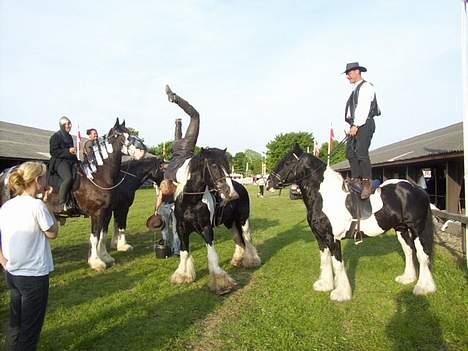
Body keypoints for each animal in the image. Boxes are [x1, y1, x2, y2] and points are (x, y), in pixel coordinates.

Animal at [171, 147, 262, 296]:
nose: (232, 193)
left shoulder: (206, 229)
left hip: (243, 220)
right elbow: (184, 252)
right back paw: (237, 260)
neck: (191, 203)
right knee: (238, 240)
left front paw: (221, 283)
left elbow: (212, 255)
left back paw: (251, 261)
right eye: (213, 165)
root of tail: (241, 187)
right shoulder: (181, 229)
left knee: (247, 239)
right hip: (230, 223)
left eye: (227, 165)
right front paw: (182, 276)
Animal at [266, 144, 436, 302]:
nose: (268, 183)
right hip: (401, 229)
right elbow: (325, 261)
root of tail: (417, 189)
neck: (326, 197)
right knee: (408, 251)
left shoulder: (332, 239)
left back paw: (423, 287)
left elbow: (337, 264)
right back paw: (407, 278)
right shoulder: (320, 238)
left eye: (288, 162)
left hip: (417, 229)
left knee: (422, 255)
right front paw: (325, 285)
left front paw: (341, 294)